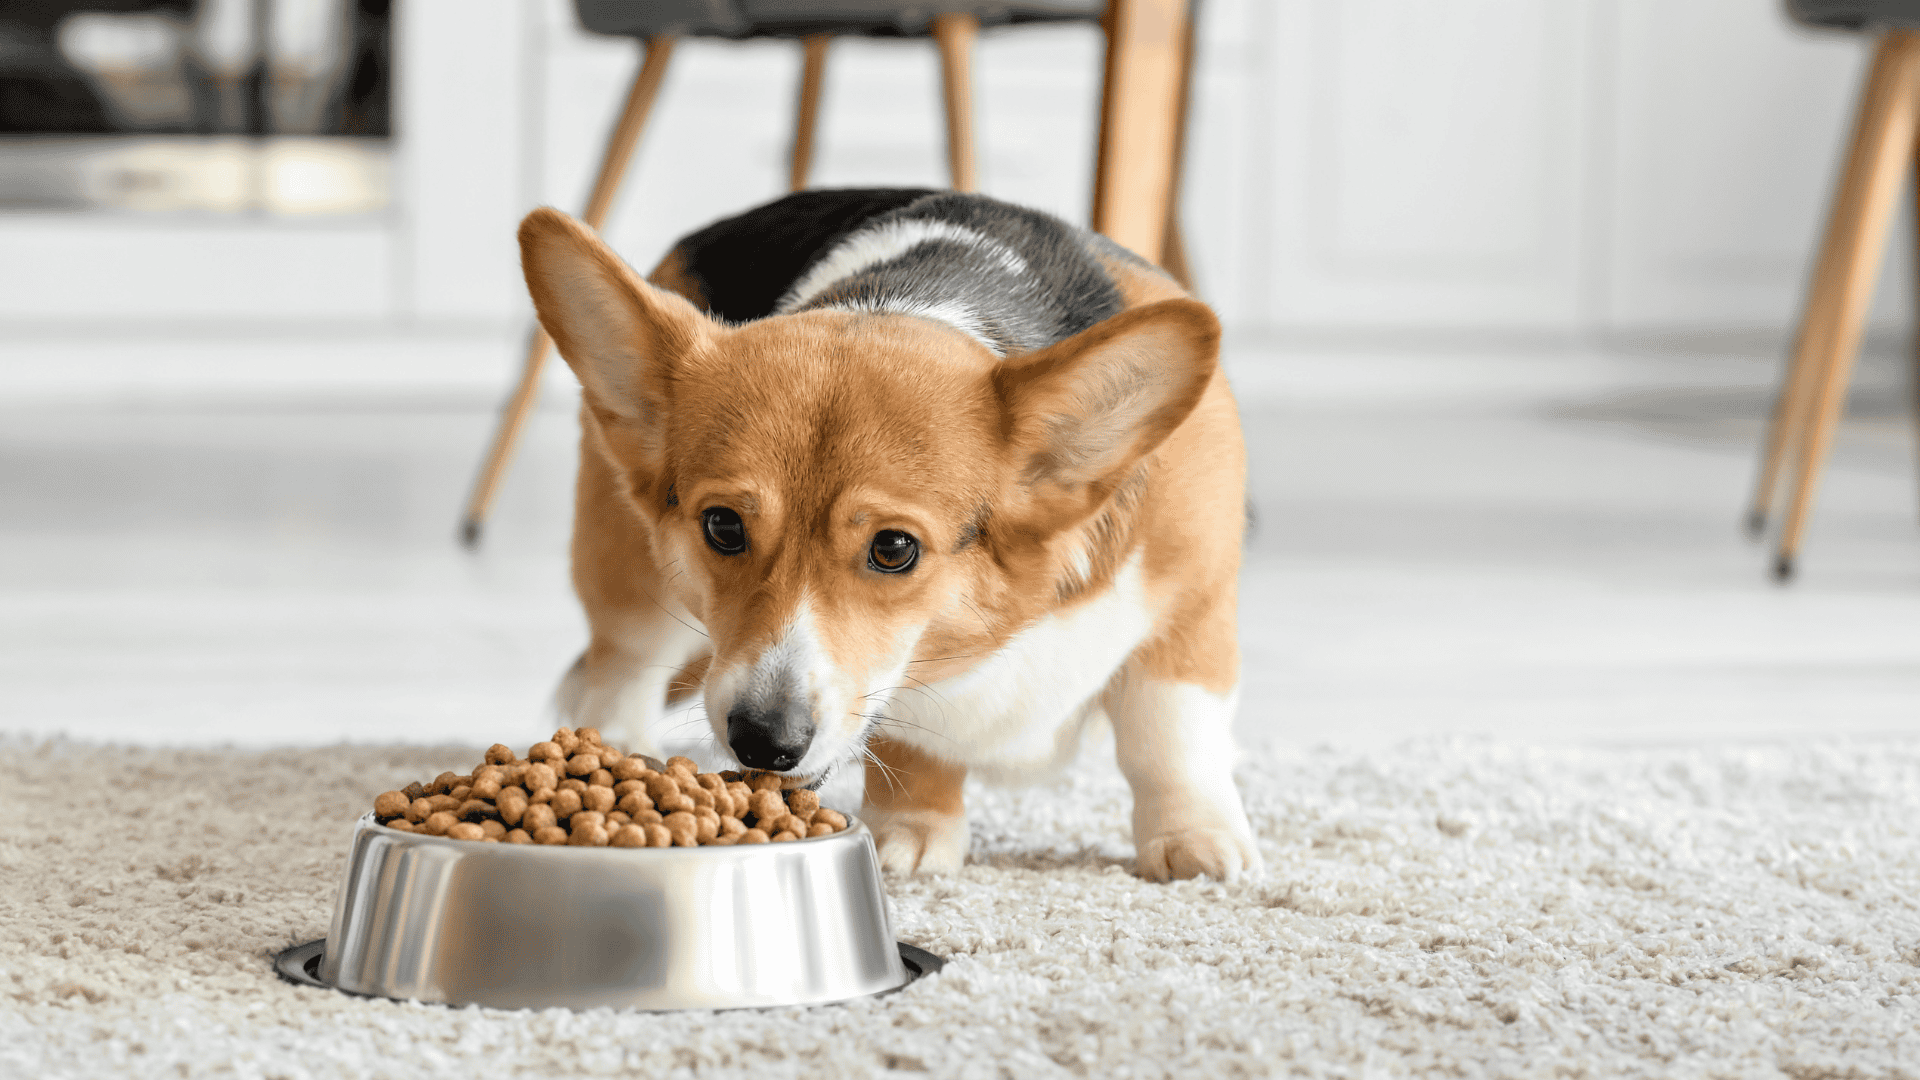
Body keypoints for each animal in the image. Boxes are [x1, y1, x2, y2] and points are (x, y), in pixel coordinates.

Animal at [518, 189, 1259, 876]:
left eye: (894, 548)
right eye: (723, 525)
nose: (763, 741)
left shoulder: (1194, 609)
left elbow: (1169, 732)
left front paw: (1195, 839)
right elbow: (917, 738)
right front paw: (914, 831)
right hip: (633, 579)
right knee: (622, 666)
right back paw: (613, 750)